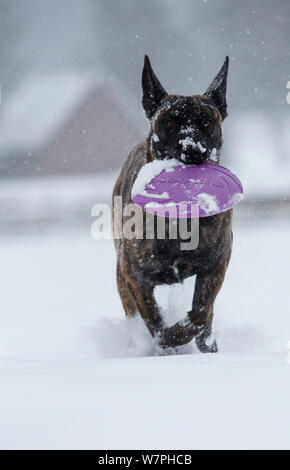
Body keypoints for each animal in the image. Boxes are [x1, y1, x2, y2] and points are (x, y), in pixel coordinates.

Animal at [112, 55, 232, 350]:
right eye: (168, 123)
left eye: (206, 122)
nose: (193, 150)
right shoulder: (135, 277)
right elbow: (154, 322)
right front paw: (166, 342)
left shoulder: (217, 264)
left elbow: (200, 312)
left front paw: (190, 335)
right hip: (121, 278)